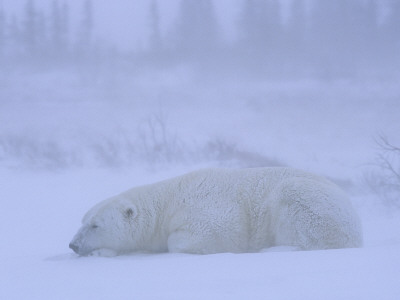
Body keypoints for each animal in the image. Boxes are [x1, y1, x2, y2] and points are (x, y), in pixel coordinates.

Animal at [69, 166, 362, 255]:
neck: (168, 202)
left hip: (309, 201)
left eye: (95, 225)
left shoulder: (210, 210)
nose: (73, 244)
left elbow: (212, 235)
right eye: (82, 221)